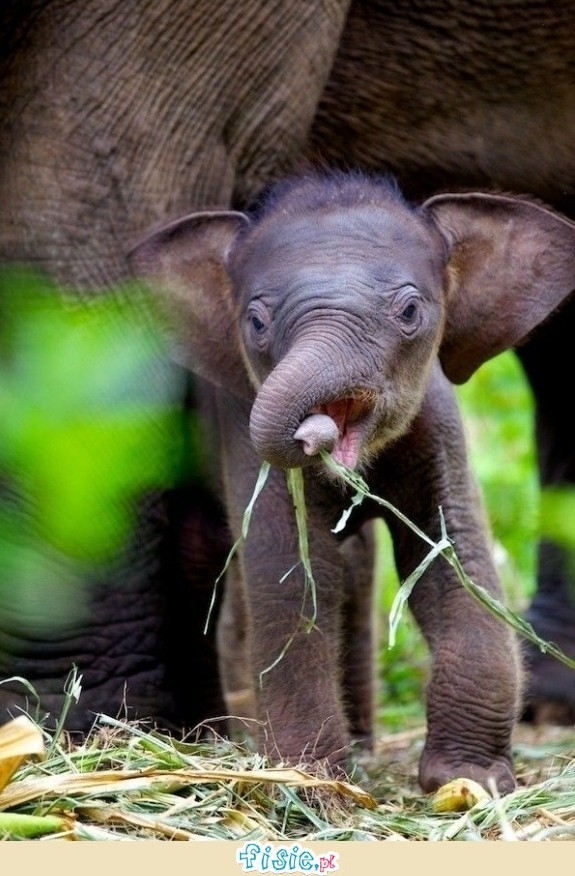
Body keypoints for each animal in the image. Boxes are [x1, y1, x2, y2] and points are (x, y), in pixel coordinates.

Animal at [130, 169, 575, 793]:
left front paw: (469, 783)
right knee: (205, 557)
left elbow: (453, 560)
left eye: (410, 311)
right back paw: (209, 739)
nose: (311, 431)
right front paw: (316, 785)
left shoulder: (437, 422)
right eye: (256, 322)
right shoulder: (239, 421)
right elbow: (295, 573)